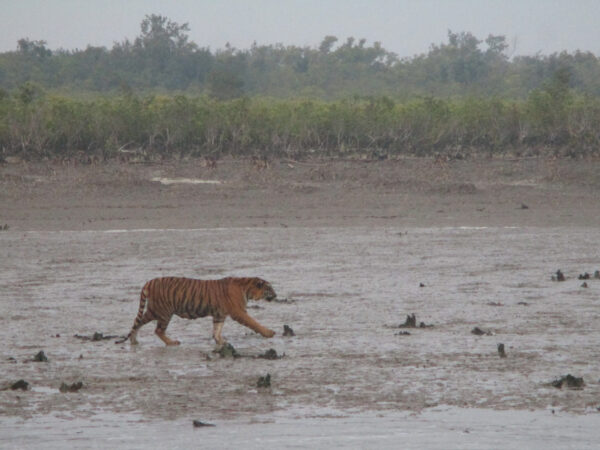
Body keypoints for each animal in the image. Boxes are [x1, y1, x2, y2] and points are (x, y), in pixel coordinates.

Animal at [115, 278, 276, 348]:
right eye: (270, 289)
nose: (276, 295)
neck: (247, 289)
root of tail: (150, 282)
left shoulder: (219, 315)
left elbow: (217, 330)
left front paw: (221, 342)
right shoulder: (239, 312)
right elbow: (254, 323)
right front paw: (269, 333)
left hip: (156, 311)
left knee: (137, 322)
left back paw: (134, 340)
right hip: (163, 312)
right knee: (156, 329)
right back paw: (172, 342)